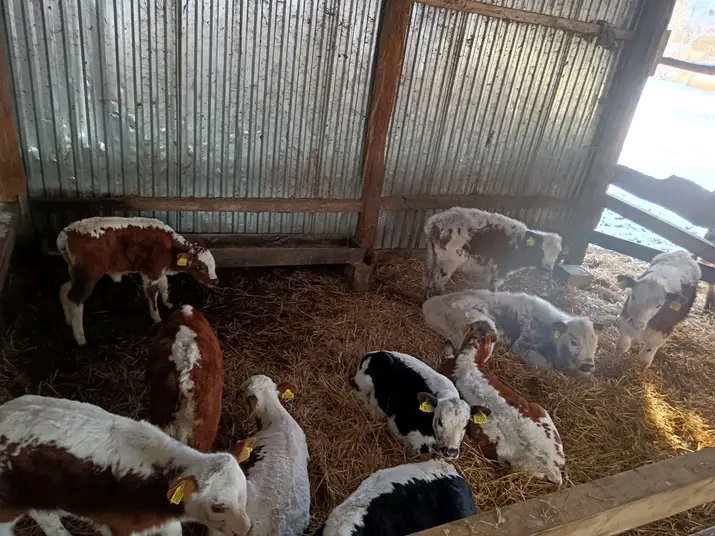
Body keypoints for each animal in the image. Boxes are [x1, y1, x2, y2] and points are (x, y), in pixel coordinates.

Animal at [57, 216, 218, 345]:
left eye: (213, 264)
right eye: (201, 267)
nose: (215, 281)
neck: (168, 246)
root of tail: (68, 231)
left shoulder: (160, 270)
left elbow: (164, 285)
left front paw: (168, 303)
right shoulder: (151, 272)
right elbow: (153, 293)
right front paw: (156, 317)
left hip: (75, 274)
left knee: (64, 290)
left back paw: (68, 321)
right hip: (88, 276)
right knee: (75, 299)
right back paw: (80, 338)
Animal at [353, 351, 487, 458]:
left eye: (465, 425)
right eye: (440, 422)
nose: (451, 452)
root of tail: (376, 353)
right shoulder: (401, 426)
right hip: (364, 383)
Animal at [423, 290, 603, 375]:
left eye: (595, 343)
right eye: (573, 341)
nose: (588, 365)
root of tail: (430, 303)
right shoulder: (522, 346)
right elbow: (545, 366)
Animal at [424, 207, 562, 297]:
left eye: (557, 256)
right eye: (540, 251)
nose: (547, 269)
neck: (519, 244)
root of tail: (435, 221)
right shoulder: (500, 269)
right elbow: (493, 287)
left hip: (432, 256)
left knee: (429, 276)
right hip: (449, 261)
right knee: (438, 280)